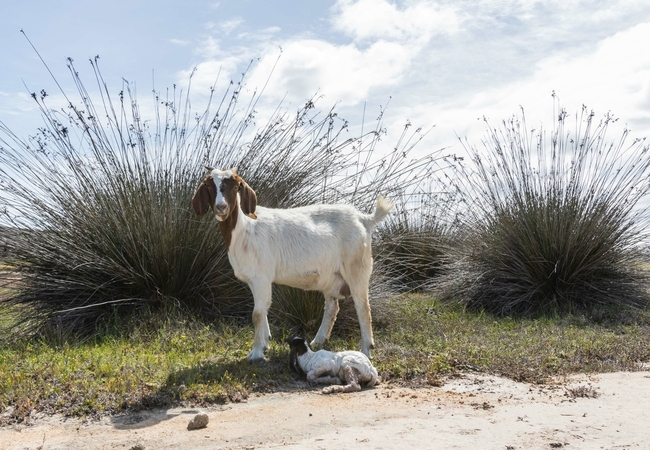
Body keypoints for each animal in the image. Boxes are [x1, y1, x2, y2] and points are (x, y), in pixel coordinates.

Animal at [190, 169, 392, 362]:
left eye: (235, 186)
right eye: (209, 186)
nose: (221, 207)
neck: (244, 229)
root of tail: (364, 219)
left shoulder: (261, 277)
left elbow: (257, 314)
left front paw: (255, 353)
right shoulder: (255, 279)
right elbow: (263, 311)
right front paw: (265, 343)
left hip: (357, 268)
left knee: (363, 308)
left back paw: (366, 350)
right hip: (330, 277)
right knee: (332, 307)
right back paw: (318, 341)